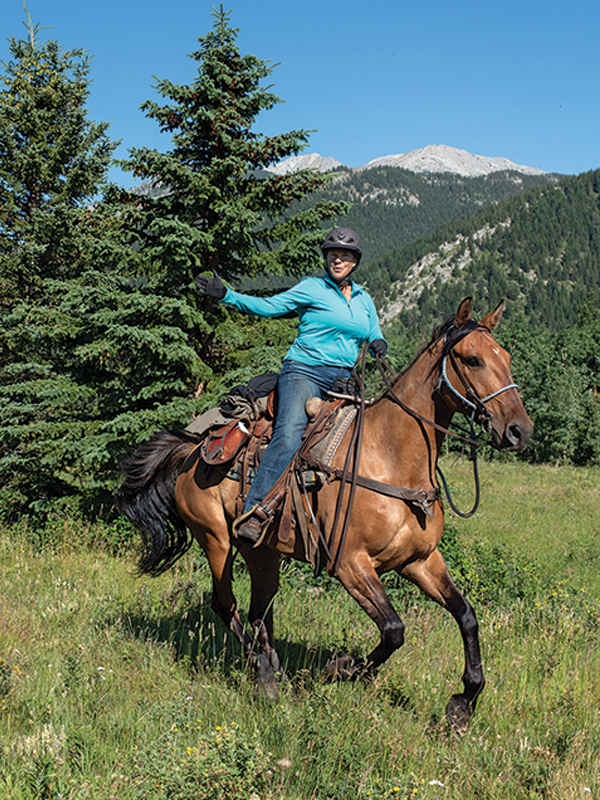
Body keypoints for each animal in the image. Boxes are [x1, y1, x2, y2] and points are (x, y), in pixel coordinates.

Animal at [119, 297, 533, 733]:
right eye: (471, 359)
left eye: (506, 357)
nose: (520, 430)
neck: (390, 458)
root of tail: (191, 451)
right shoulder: (350, 565)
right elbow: (394, 630)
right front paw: (343, 668)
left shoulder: (420, 561)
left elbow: (466, 616)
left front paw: (463, 703)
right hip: (216, 540)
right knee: (225, 605)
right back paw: (263, 674)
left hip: (261, 550)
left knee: (260, 609)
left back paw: (272, 670)